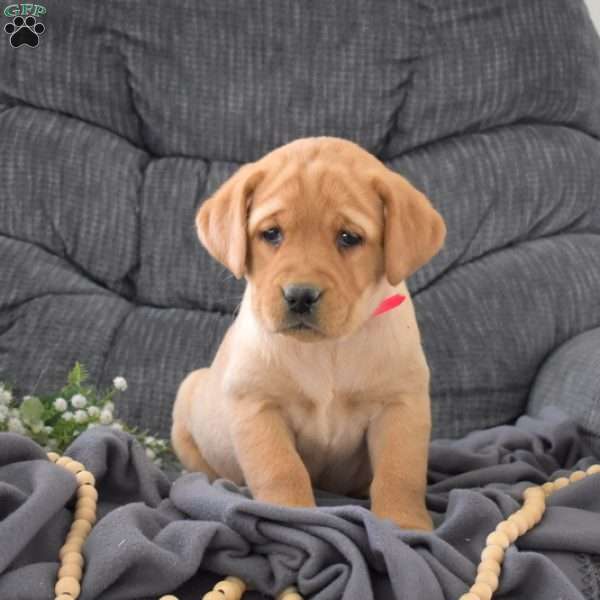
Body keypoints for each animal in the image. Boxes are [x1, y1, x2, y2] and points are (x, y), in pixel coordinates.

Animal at [172, 136, 446, 528]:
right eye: (271, 234)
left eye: (349, 237)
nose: (300, 295)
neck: (327, 349)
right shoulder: (257, 405)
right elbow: (282, 469)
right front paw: (289, 515)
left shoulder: (401, 405)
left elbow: (400, 473)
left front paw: (404, 523)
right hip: (188, 397)